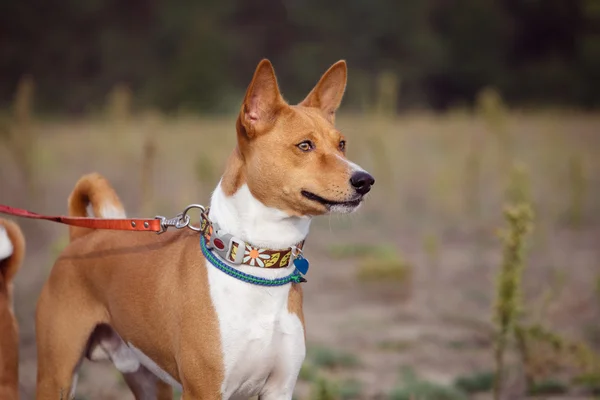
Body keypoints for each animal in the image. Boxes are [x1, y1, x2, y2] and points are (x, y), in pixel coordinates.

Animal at [35, 59, 372, 400]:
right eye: (304, 145)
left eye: (342, 144)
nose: (365, 180)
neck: (255, 262)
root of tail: (82, 236)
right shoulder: (204, 390)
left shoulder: (279, 389)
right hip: (56, 376)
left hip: (147, 380)